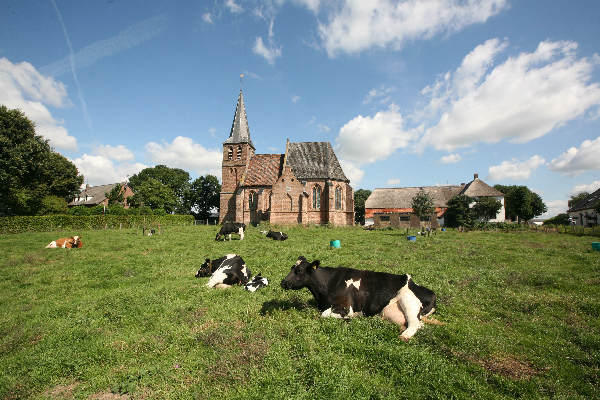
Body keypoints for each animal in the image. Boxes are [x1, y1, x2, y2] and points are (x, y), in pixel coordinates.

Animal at [278, 256, 438, 340]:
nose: (283, 282)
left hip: (409, 302)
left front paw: (349, 319)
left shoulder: (346, 307)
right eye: (292, 268)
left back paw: (404, 335)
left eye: (299, 270)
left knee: (415, 324)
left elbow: (324, 314)